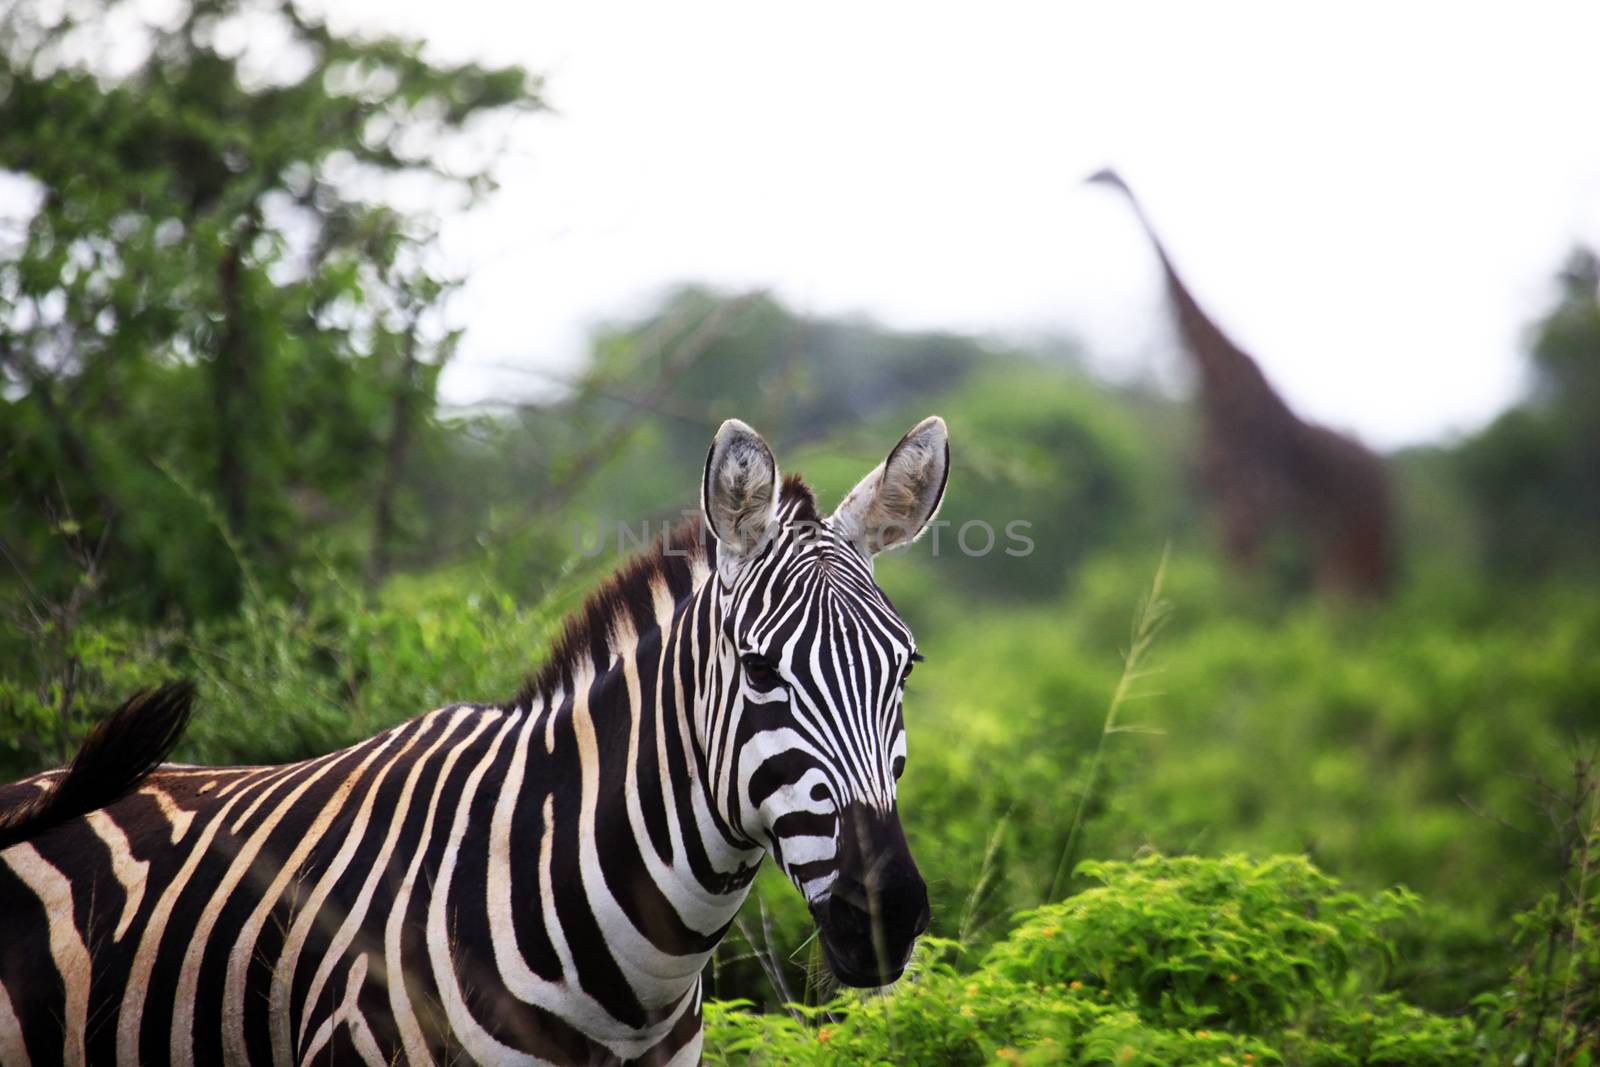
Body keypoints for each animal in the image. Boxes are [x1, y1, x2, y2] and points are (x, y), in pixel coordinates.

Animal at [1094, 171, 1395, 598]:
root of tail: (1384, 468)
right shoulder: (1221, 497)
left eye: (1100, 173)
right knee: (1345, 581)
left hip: (1359, 520)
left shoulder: (1255, 496)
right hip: (1337, 527)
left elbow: (1247, 580)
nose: (1082, 178)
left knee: (1361, 580)